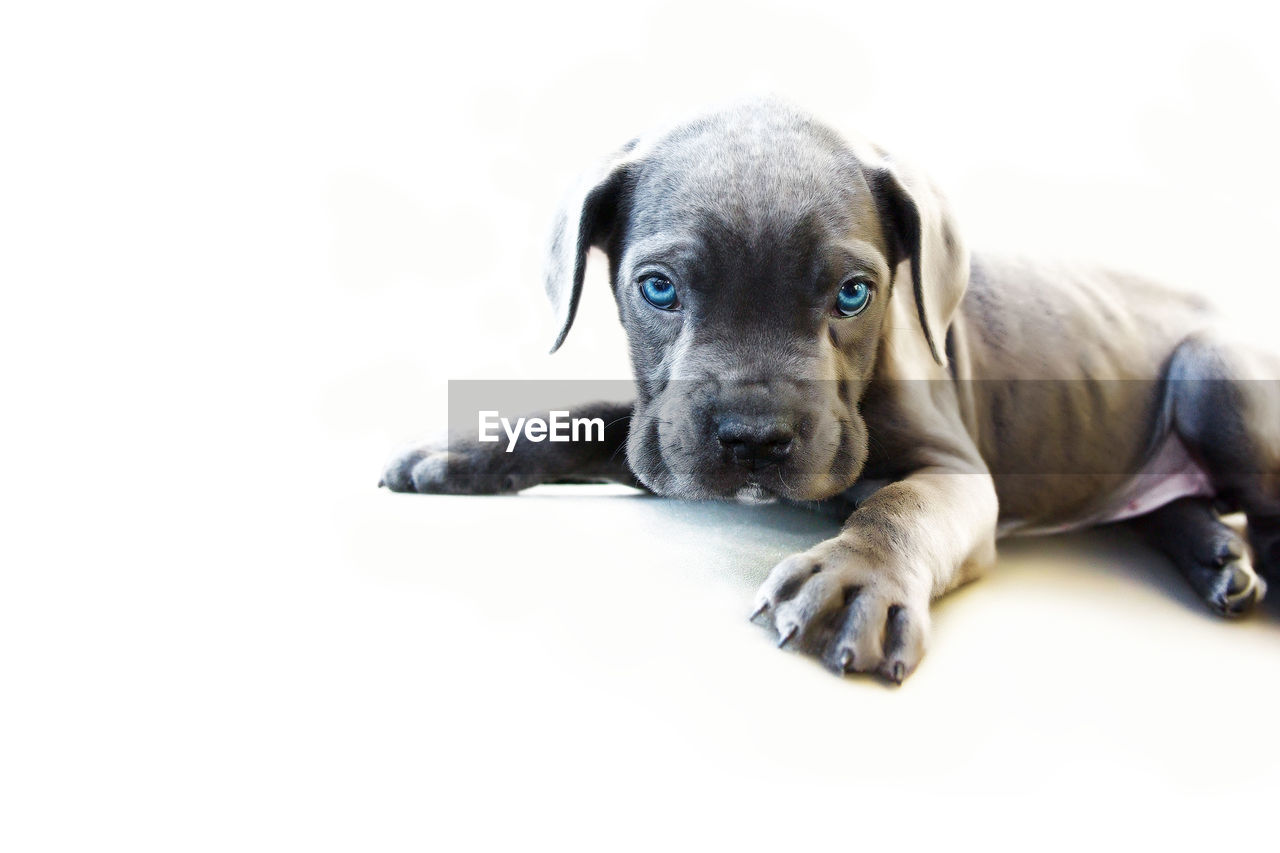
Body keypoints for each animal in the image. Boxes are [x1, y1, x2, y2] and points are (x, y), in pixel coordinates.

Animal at [384, 99, 1274, 681]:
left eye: (853, 294)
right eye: (659, 288)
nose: (753, 437)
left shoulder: (955, 471)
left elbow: (901, 504)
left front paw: (857, 581)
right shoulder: (659, 431)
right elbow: (593, 419)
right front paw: (458, 451)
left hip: (1215, 376)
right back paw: (1219, 555)